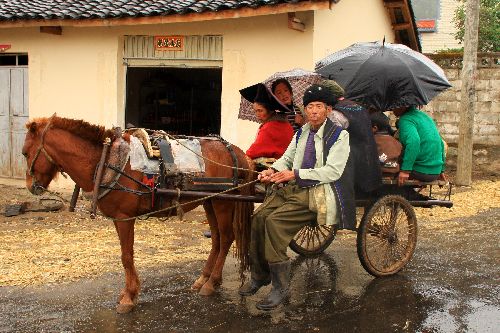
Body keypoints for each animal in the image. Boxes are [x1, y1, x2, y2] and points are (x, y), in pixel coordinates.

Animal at [21, 114, 256, 312]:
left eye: (25, 153)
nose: (31, 187)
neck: (106, 160)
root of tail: (237, 152)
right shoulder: (118, 218)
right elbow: (125, 255)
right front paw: (129, 293)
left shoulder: (125, 217)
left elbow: (127, 256)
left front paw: (128, 297)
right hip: (209, 201)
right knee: (216, 239)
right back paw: (204, 279)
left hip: (222, 201)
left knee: (226, 237)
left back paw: (211, 282)